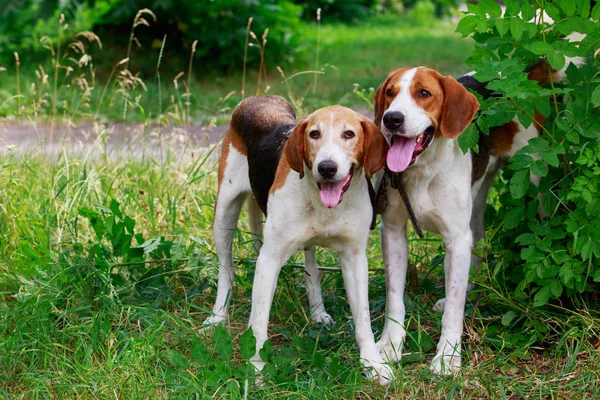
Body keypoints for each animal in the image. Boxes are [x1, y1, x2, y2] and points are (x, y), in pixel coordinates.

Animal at [206, 95, 394, 386]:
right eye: (314, 134)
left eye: (349, 134)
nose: (327, 168)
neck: (322, 204)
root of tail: (257, 98)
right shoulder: (269, 259)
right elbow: (258, 324)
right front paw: (256, 369)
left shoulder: (354, 258)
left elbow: (363, 318)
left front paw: (372, 363)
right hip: (224, 214)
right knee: (226, 268)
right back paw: (218, 315)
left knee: (311, 267)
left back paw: (317, 312)